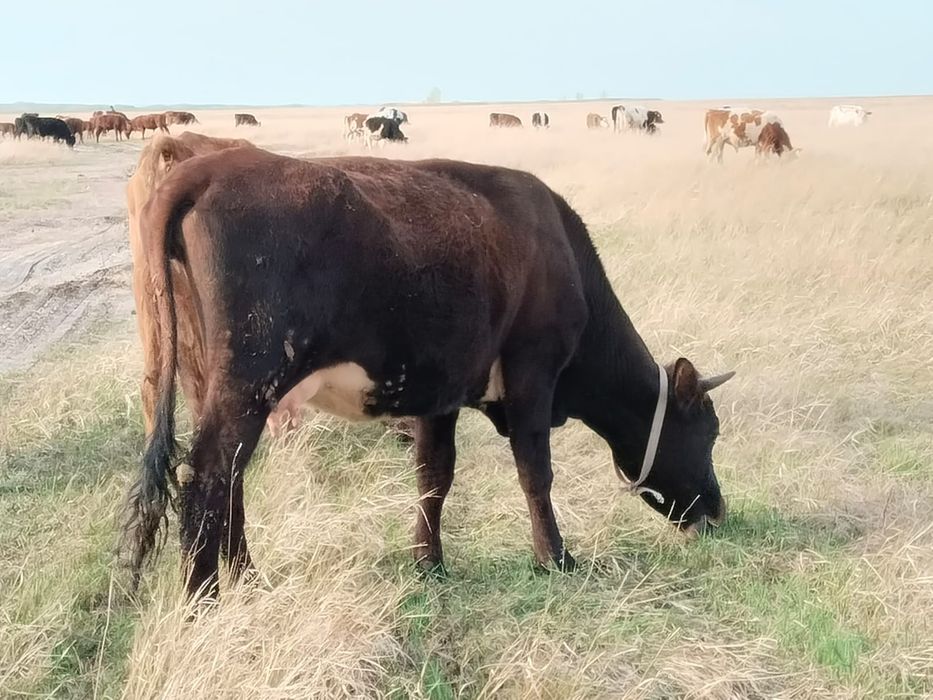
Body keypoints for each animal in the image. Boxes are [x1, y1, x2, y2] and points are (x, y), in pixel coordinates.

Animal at [124, 148, 735, 603]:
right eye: (708, 433)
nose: (717, 510)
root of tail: (213, 166)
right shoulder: (533, 370)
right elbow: (535, 472)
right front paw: (555, 557)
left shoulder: (443, 390)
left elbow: (434, 476)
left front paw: (428, 562)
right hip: (249, 382)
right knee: (208, 478)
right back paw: (203, 600)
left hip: (214, 381)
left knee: (228, 479)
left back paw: (248, 579)